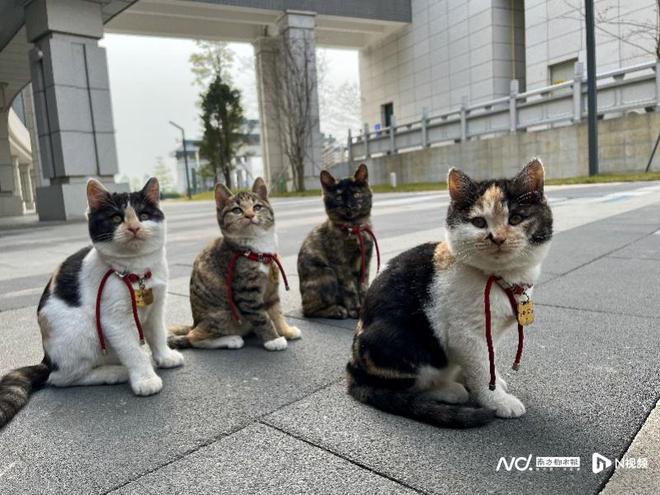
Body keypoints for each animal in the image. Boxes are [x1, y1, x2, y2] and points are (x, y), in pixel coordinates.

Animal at [0, 178, 184, 430]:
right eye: (116, 218)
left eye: (144, 215)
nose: (134, 228)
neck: (135, 271)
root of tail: (47, 360)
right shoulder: (114, 319)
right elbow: (133, 351)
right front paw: (145, 379)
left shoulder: (156, 306)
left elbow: (157, 333)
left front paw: (164, 356)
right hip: (81, 332)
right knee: (60, 378)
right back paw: (115, 372)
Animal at [168, 178, 302, 352]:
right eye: (237, 210)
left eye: (257, 207)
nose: (250, 215)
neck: (257, 250)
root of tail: (194, 323)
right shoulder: (246, 292)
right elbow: (262, 317)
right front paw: (273, 339)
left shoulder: (272, 289)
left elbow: (276, 312)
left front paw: (286, 331)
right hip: (223, 315)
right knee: (194, 337)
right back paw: (231, 340)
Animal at [296, 166, 374, 322]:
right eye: (338, 197)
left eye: (356, 194)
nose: (349, 206)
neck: (354, 228)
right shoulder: (340, 264)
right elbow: (350, 288)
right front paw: (355, 309)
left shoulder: (366, 262)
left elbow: (363, 286)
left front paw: (363, 306)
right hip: (327, 273)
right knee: (308, 311)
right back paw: (336, 310)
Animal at [346, 160, 552, 430]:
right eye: (479, 223)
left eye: (516, 218)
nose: (497, 238)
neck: (500, 278)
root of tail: (352, 371)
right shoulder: (464, 333)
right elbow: (481, 370)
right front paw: (496, 399)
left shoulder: (487, 335)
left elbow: (487, 360)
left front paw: (491, 380)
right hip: (397, 340)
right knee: (405, 388)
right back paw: (449, 391)